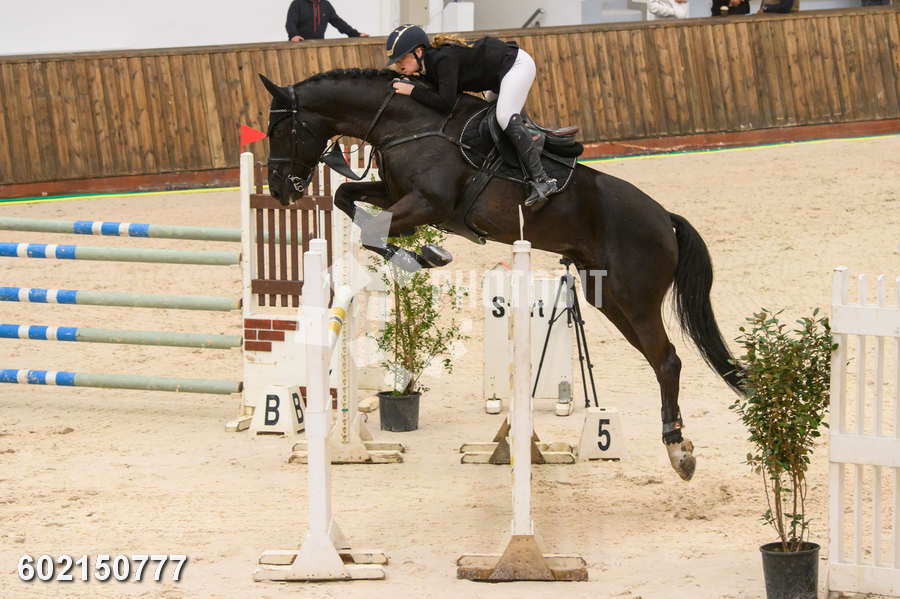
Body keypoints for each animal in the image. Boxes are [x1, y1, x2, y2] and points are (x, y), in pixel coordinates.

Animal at [259, 68, 743, 481]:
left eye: (281, 130)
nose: (280, 189)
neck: (407, 124)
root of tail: (665, 218)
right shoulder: (394, 193)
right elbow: (346, 196)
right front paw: (422, 252)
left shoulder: (427, 203)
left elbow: (372, 228)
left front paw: (424, 255)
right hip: (606, 296)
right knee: (658, 359)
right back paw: (677, 444)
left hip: (634, 298)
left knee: (668, 360)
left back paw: (678, 449)